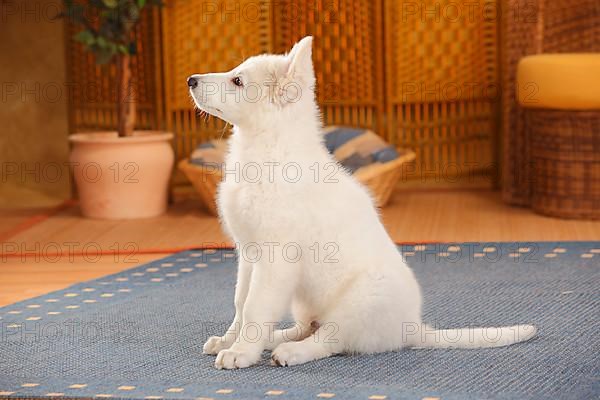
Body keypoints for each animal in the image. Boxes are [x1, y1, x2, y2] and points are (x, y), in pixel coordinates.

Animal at [186, 36, 536, 368]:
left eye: (237, 81)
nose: (190, 79)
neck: (269, 150)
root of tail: (412, 328)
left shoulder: (275, 259)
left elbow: (255, 307)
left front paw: (241, 352)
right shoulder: (248, 254)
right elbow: (240, 303)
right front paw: (230, 341)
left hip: (359, 301)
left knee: (328, 340)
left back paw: (290, 351)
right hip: (306, 301)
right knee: (308, 327)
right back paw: (276, 338)